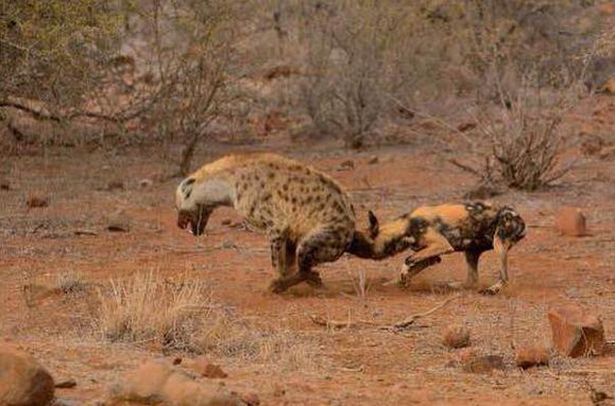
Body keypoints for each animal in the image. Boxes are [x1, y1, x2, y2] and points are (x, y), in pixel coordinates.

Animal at [174, 154, 356, 294]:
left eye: (178, 207)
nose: (178, 225)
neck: (228, 185)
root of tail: (352, 229)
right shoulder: (290, 229)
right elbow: (287, 261)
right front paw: (291, 277)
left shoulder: (277, 224)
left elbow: (276, 262)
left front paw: (277, 282)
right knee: (304, 267)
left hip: (323, 236)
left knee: (305, 261)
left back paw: (282, 286)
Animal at [348, 202, 528, 292]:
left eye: (356, 239)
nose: (345, 246)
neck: (406, 226)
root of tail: (520, 218)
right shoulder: (433, 256)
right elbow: (412, 268)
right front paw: (399, 282)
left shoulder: (441, 245)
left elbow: (407, 260)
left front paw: (403, 276)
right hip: (470, 251)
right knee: (472, 280)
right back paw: (455, 286)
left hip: (498, 243)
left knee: (504, 277)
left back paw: (494, 289)